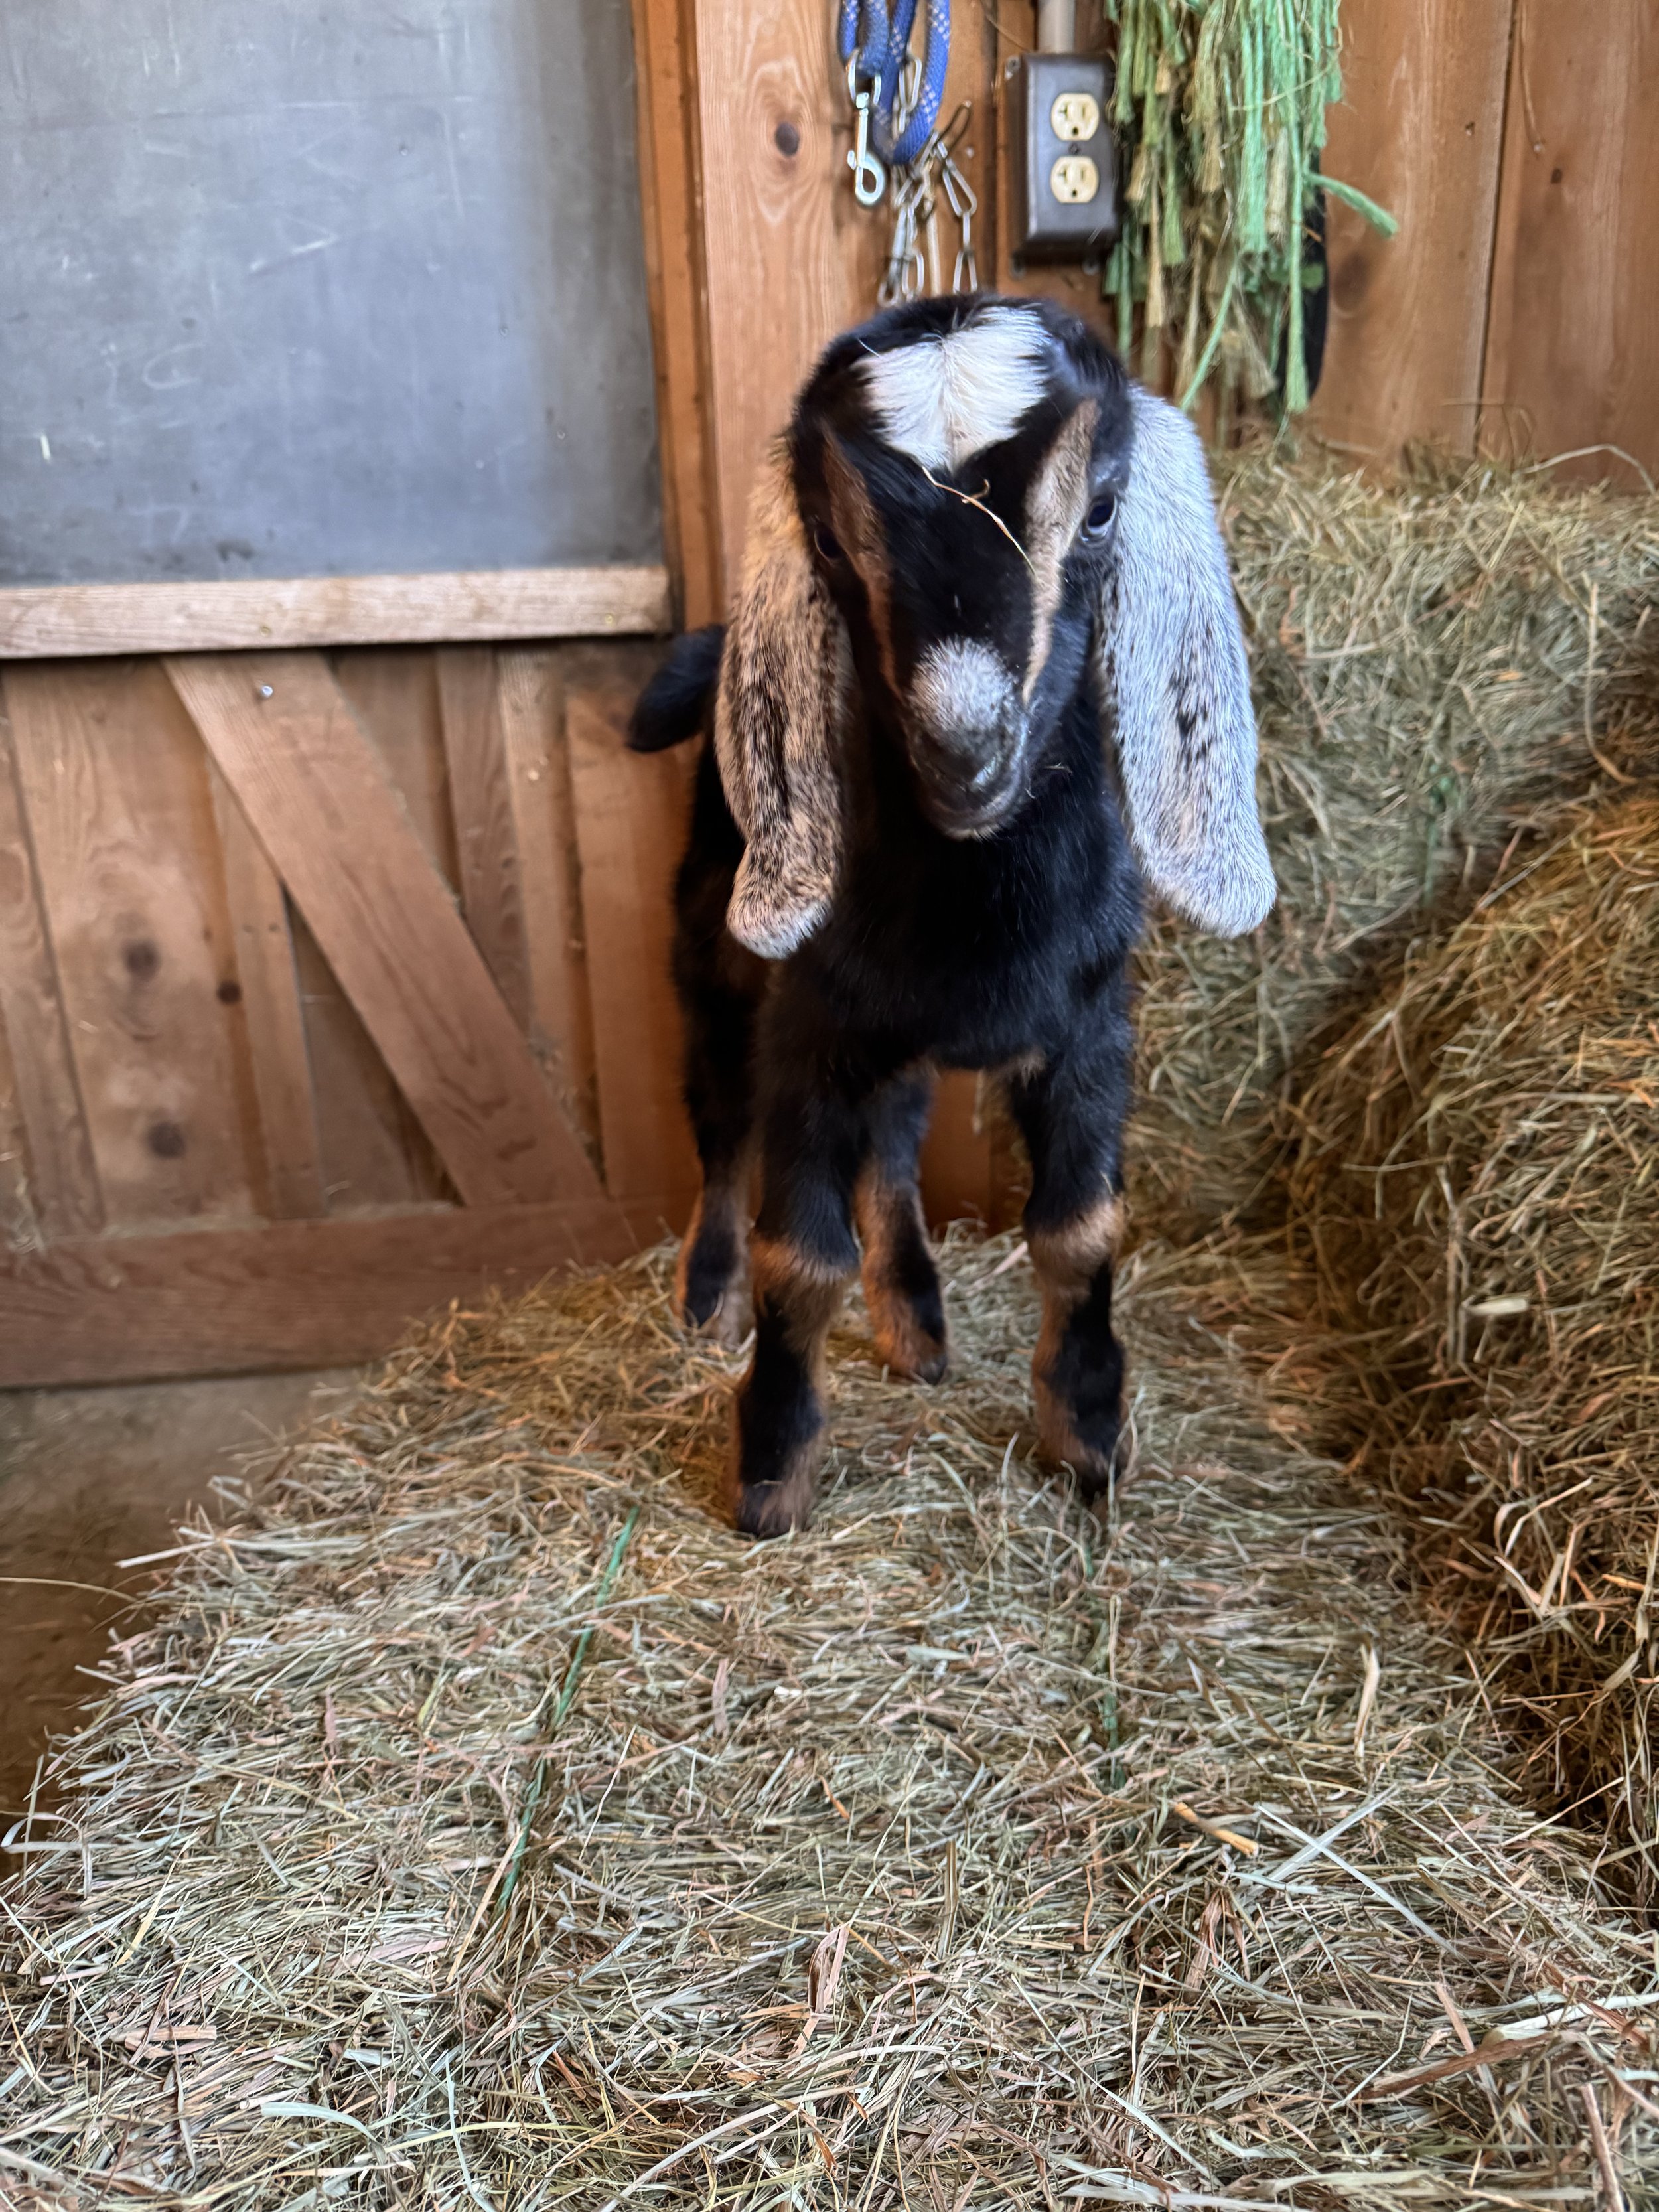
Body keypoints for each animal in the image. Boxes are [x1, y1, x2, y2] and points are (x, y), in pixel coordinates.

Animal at [629, 294, 1274, 1537]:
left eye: (1104, 505)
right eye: (832, 543)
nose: (966, 755)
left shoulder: (1092, 1027)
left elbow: (1079, 1228)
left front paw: (1089, 1435)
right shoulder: (810, 1026)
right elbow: (799, 1255)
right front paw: (771, 1469)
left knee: (894, 1133)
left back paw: (916, 1322)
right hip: (712, 943)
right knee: (719, 1118)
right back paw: (706, 1295)